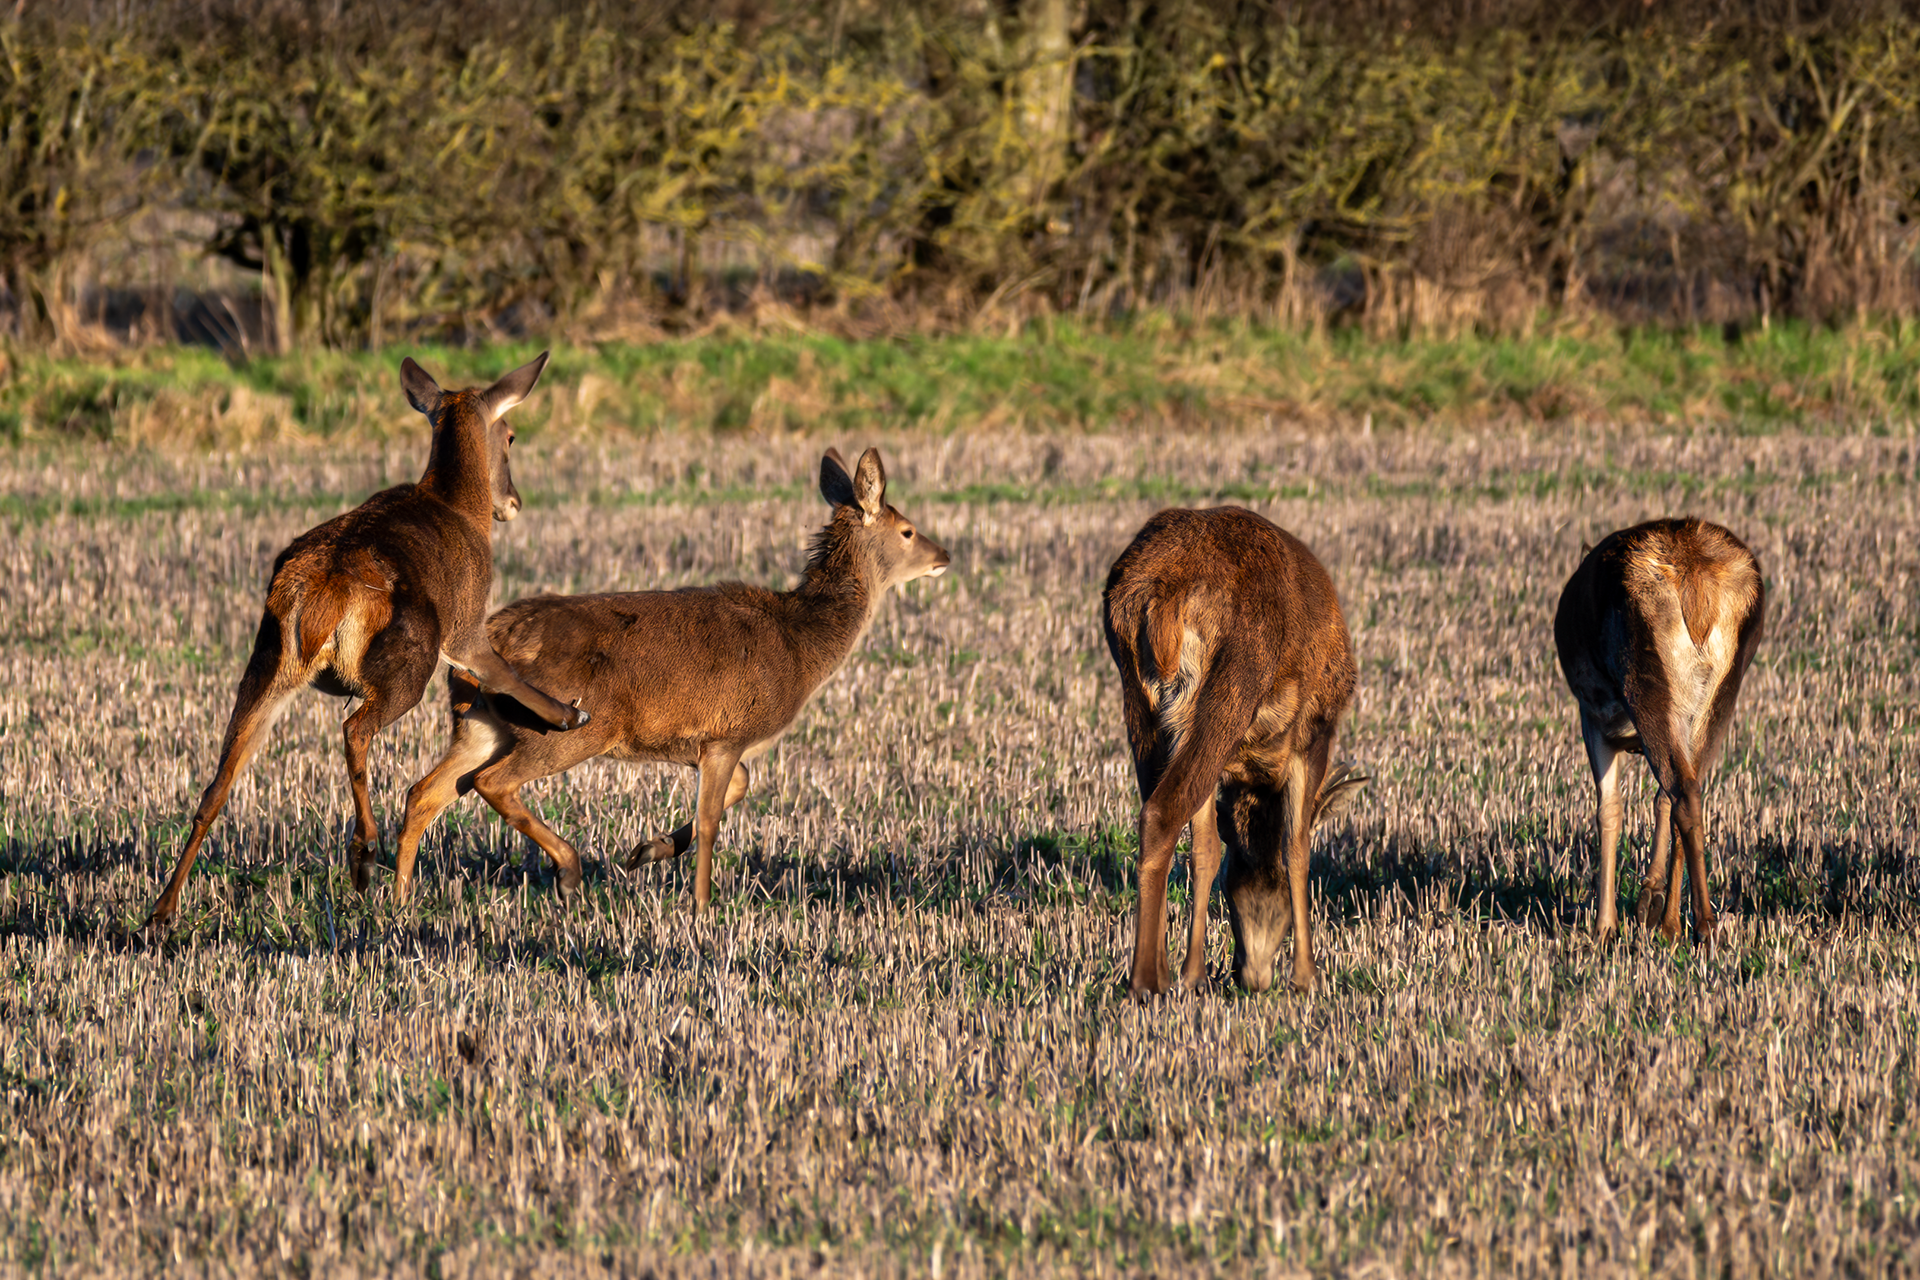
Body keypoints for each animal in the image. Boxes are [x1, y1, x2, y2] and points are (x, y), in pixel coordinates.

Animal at [143, 353, 591, 928]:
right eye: (510, 435)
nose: (512, 502)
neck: (461, 507)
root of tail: (319, 592)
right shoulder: (467, 624)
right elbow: (506, 674)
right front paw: (569, 714)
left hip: (268, 662)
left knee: (218, 781)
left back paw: (162, 910)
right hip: (407, 661)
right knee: (355, 727)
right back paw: (363, 854)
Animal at [387, 446, 950, 910]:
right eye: (907, 530)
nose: (945, 555)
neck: (801, 648)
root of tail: (494, 639)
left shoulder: (696, 740)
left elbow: (736, 789)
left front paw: (647, 850)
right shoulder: (727, 735)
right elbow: (712, 820)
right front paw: (701, 906)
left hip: (481, 723)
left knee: (425, 791)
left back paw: (399, 897)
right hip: (571, 724)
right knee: (490, 781)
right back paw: (567, 870)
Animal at [1103, 506, 1365, 996]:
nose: (1254, 977)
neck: (1257, 775)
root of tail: (1165, 592)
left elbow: (1207, 849)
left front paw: (1194, 972)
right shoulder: (1313, 735)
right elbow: (1297, 849)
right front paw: (1307, 978)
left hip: (1142, 704)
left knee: (1155, 809)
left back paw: (1163, 972)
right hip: (1233, 683)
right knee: (1162, 812)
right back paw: (1144, 980)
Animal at [1554, 517, 1765, 946]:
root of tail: (1696, 586)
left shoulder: (1592, 716)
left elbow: (1609, 809)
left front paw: (1604, 927)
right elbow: (1657, 800)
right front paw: (1648, 898)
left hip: (1642, 679)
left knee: (1681, 789)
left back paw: (1702, 924)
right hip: (1720, 695)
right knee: (1690, 786)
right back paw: (1674, 923)